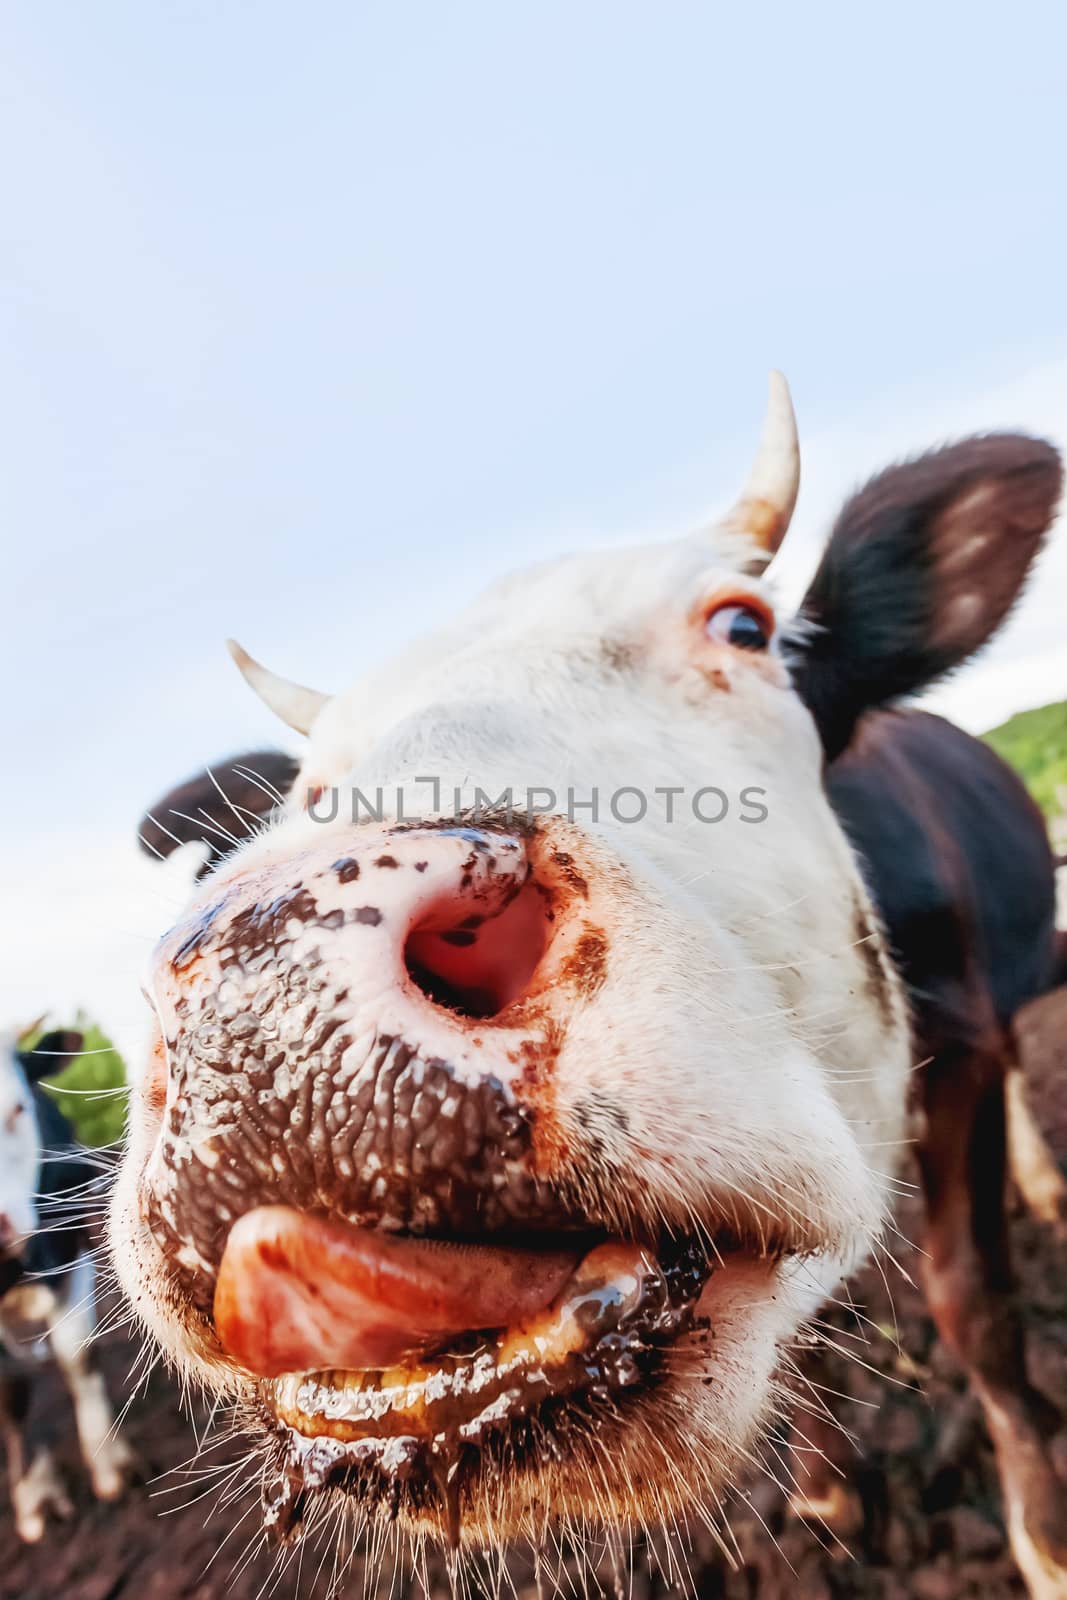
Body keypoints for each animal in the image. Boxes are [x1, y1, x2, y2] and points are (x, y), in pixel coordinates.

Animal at [1, 1024, 134, 1536]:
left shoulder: (72, 1246)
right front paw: (35, 1494)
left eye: (18, 1108)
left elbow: (78, 1354)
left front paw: (110, 1462)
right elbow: (12, 1390)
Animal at [110, 380, 1067, 1593]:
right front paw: (826, 1488)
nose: (266, 993)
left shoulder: (964, 1052)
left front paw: (1041, 1531)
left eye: (742, 627)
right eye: (312, 783)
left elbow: (972, 1299)